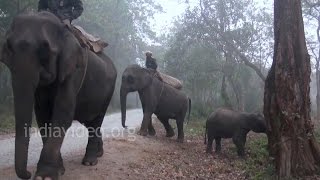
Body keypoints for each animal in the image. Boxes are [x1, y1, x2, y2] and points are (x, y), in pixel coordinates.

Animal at [0, 11, 117, 179]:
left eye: (45, 50)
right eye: (9, 48)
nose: (28, 173)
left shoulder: (74, 70)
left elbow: (62, 113)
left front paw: (45, 176)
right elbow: (42, 115)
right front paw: (59, 170)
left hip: (109, 91)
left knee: (96, 120)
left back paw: (90, 162)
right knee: (89, 122)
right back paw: (99, 153)